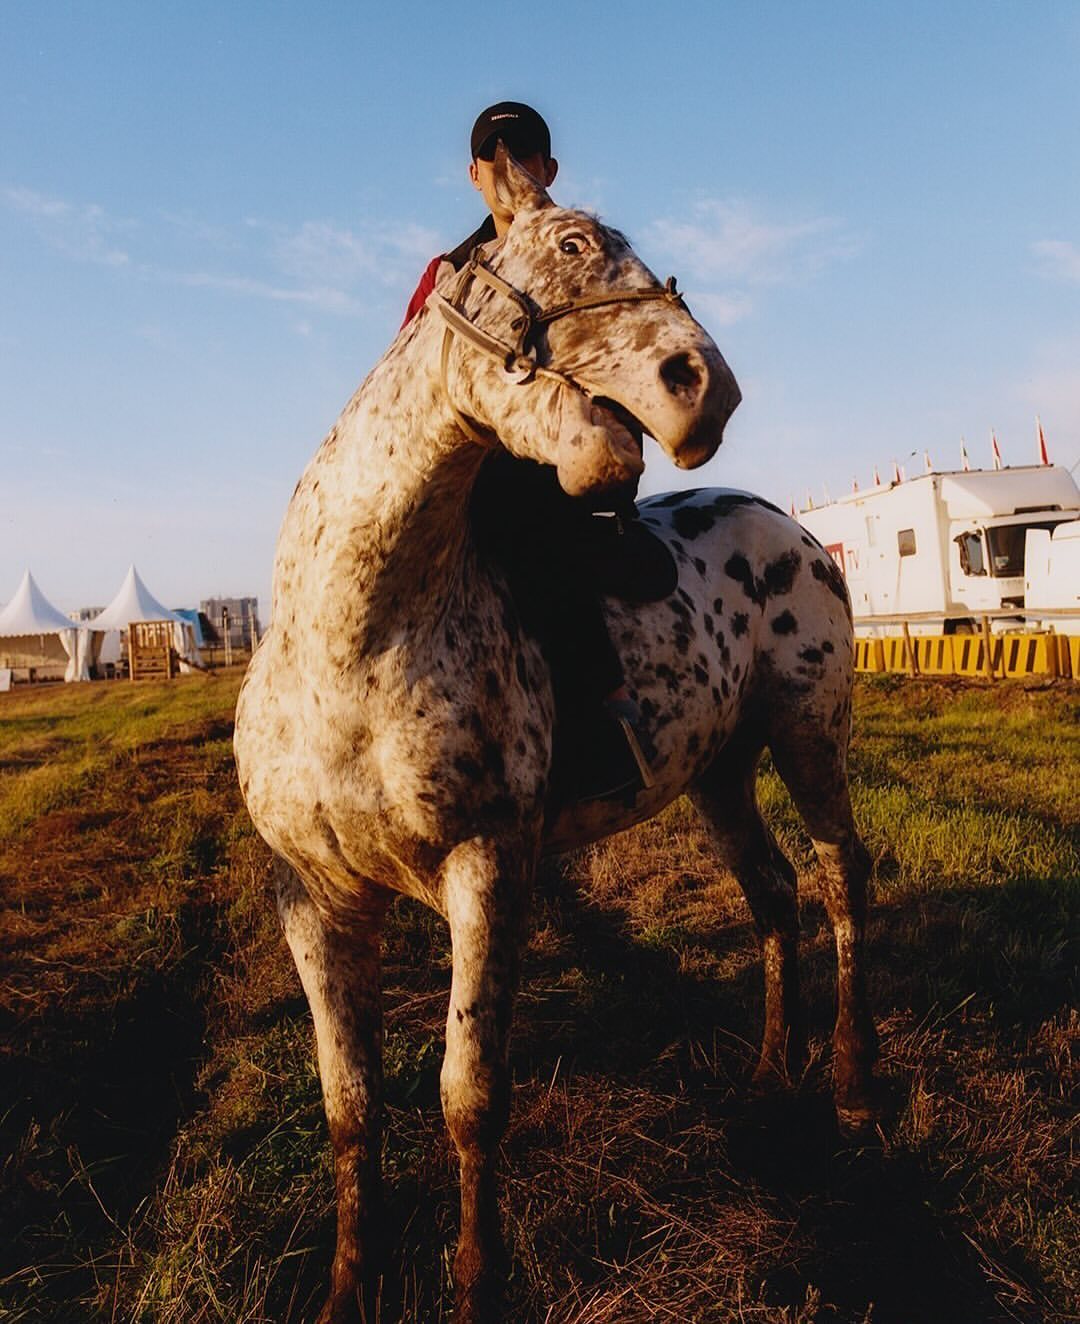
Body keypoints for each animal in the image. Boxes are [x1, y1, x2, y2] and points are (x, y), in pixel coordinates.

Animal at [234, 147, 878, 1323]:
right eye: (575, 243)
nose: (706, 385)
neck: (357, 640)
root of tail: (797, 531)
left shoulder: (488, 870)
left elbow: (469, 1096)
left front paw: (478, 1282)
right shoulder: (314, 898)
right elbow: (350, 1104)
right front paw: (352, 1284)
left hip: (810, 736)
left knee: (842, 874)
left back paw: (854, 1083)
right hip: (718, 773)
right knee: (773, 892)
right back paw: (774, 1067)